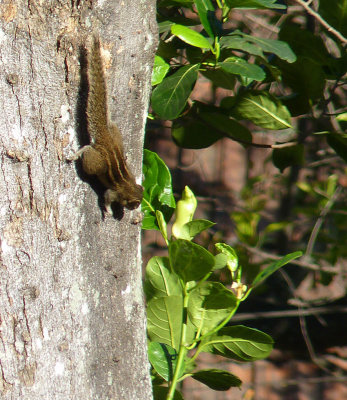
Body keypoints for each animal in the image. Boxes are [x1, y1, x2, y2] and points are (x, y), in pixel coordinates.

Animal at [74, 36, 143, 214]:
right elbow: (106, 197)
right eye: (133, 204)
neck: (129, 186)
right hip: (96, 164)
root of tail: (106, 137)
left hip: (115, 132)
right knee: (88, 151)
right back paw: (76, 154)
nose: (134, 208)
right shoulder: (114, 192)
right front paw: (107, 210)